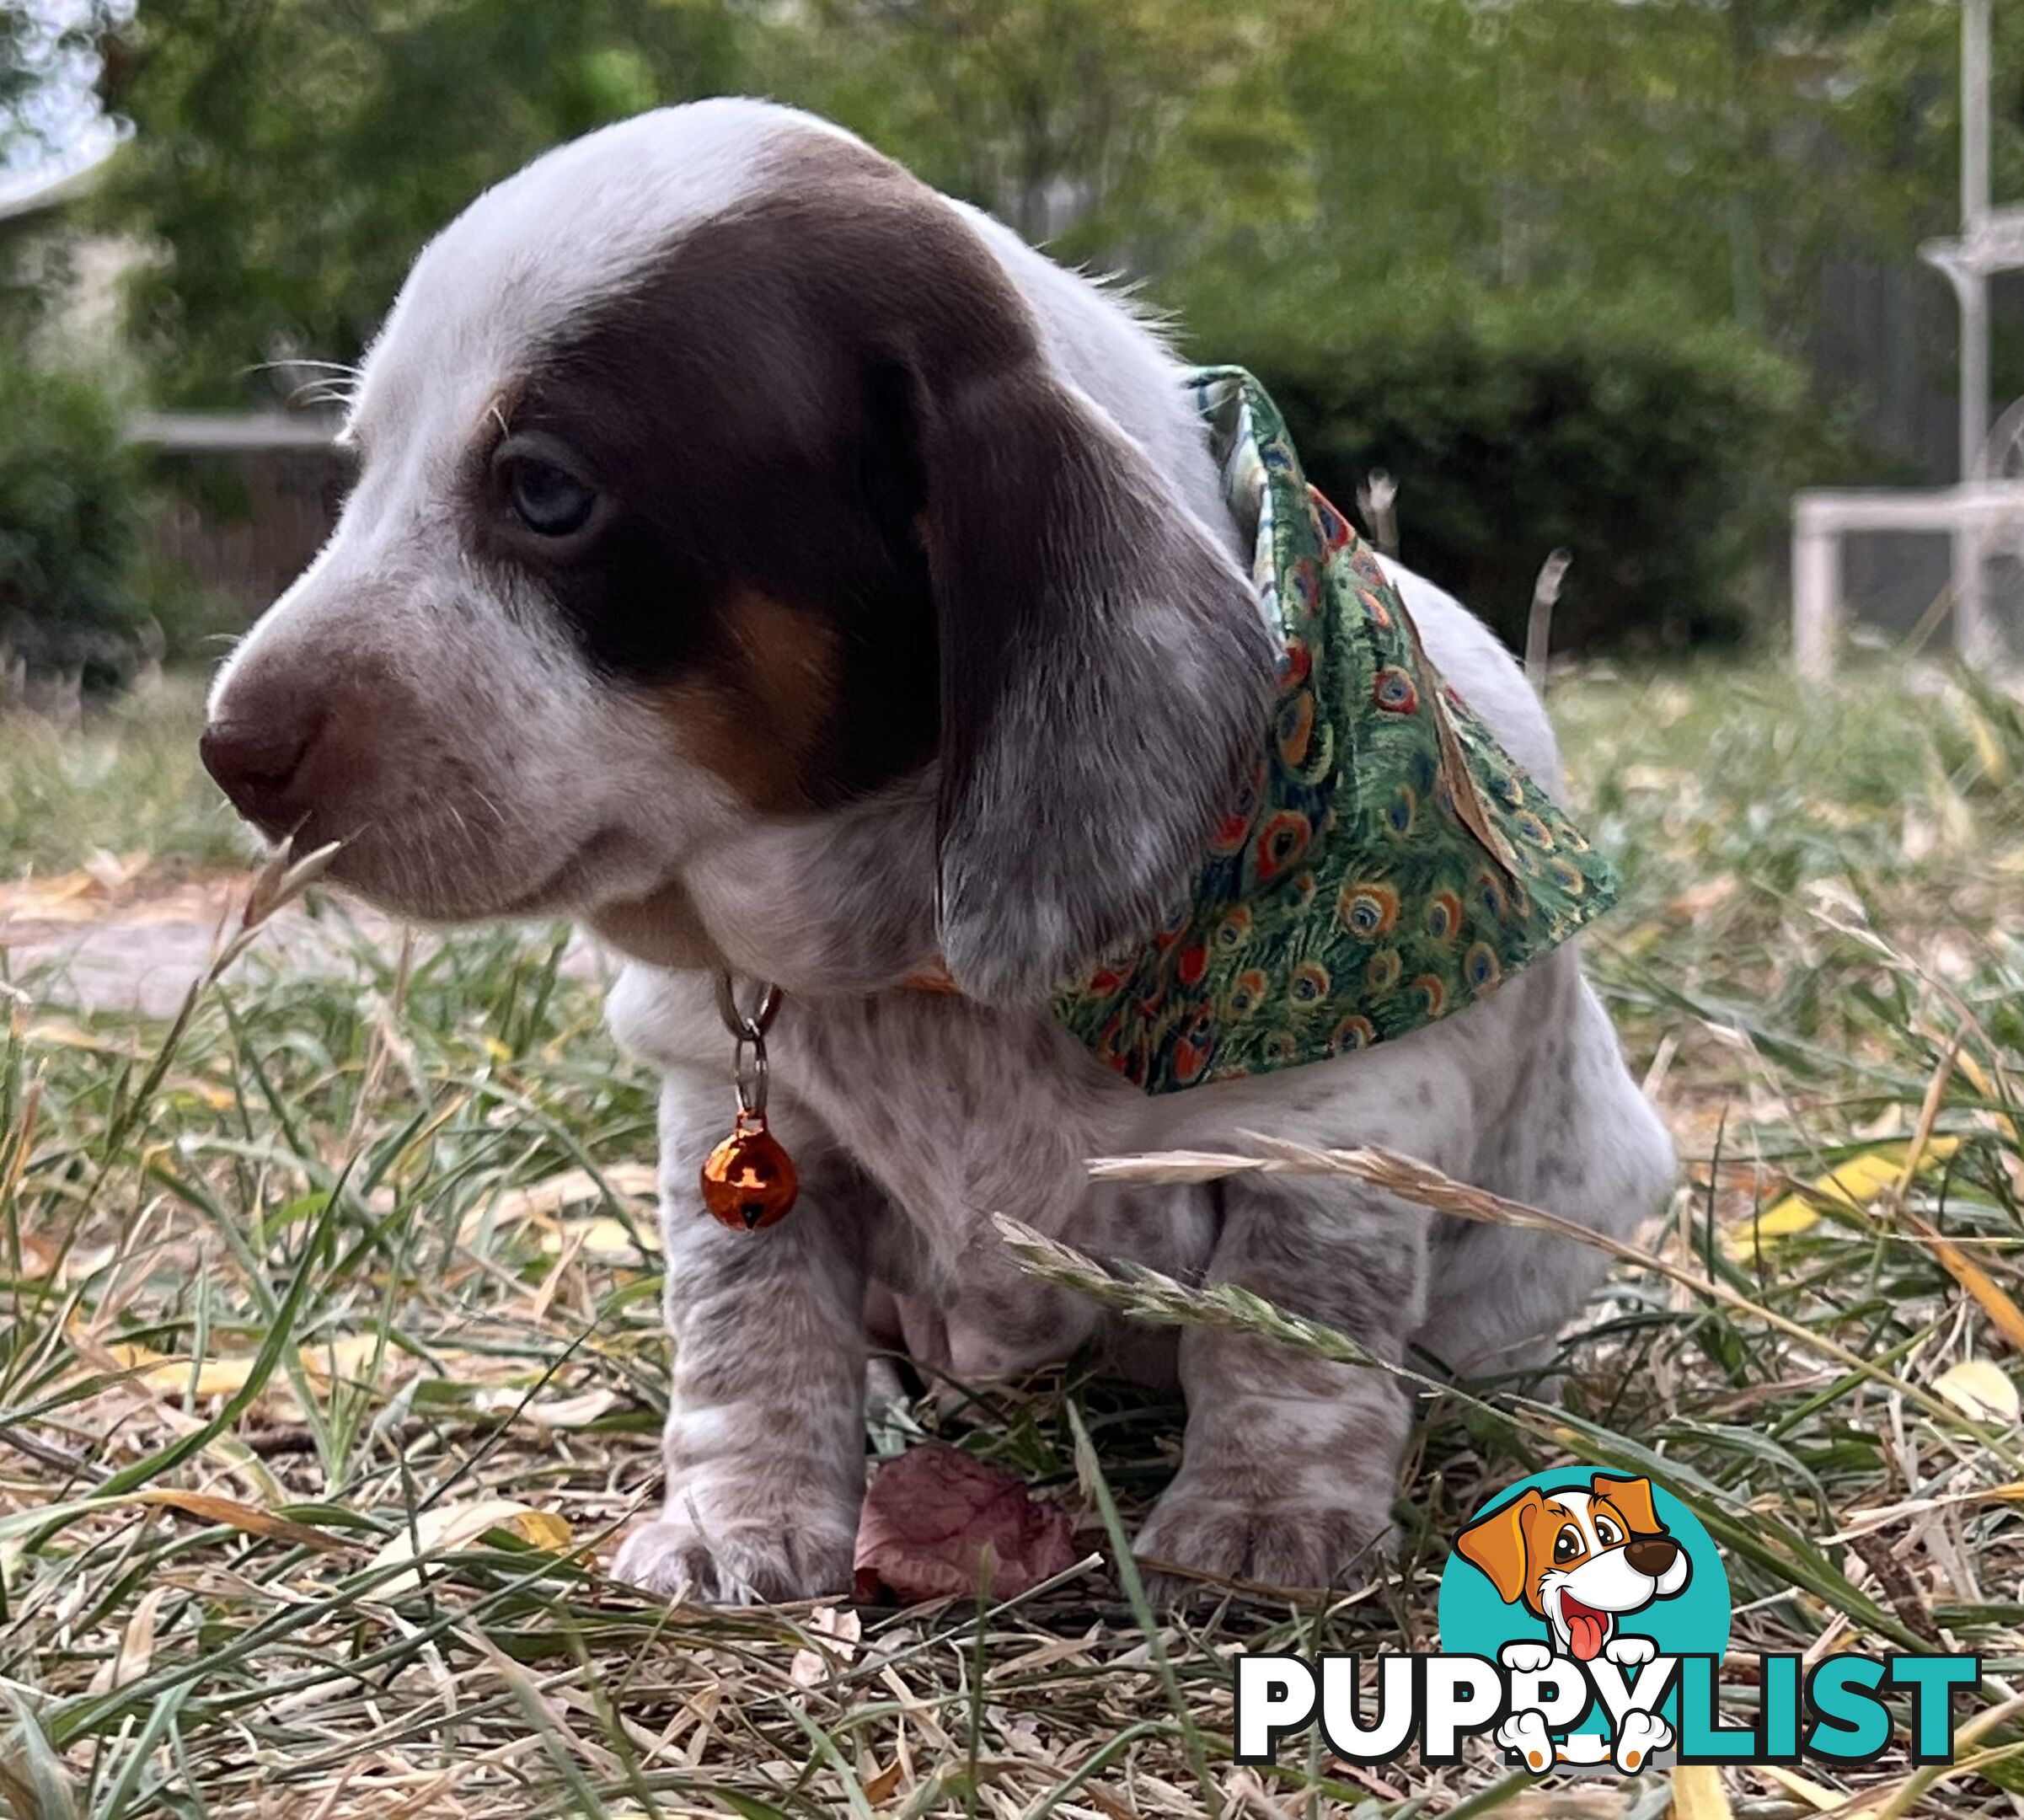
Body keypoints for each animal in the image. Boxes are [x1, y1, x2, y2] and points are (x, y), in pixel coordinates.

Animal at [201, 103, 1675, 1611]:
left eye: (546, 492)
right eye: (360, 468)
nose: (226, 753)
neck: (906, 965)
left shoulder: (1335, 1132)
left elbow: (1285, 1330)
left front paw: (1264, 1523)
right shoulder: (732, 1120)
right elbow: (749, 1331)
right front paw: (738, 1518)